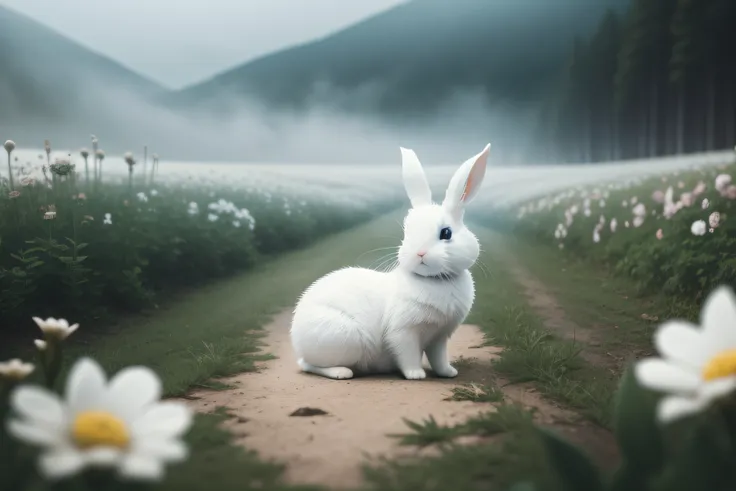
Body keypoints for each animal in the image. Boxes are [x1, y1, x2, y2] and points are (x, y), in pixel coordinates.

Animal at [290, 142, 492, 380]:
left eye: (446, 233)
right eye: (407, 231)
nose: (419, 253)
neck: (435, 280)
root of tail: (296, 337)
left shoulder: (439, 337)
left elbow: (439, 357)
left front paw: (449, 372)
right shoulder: (403, 331)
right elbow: (407, 354)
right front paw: (415, 374)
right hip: (344, 340)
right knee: (309, 365)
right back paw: (342, 372)